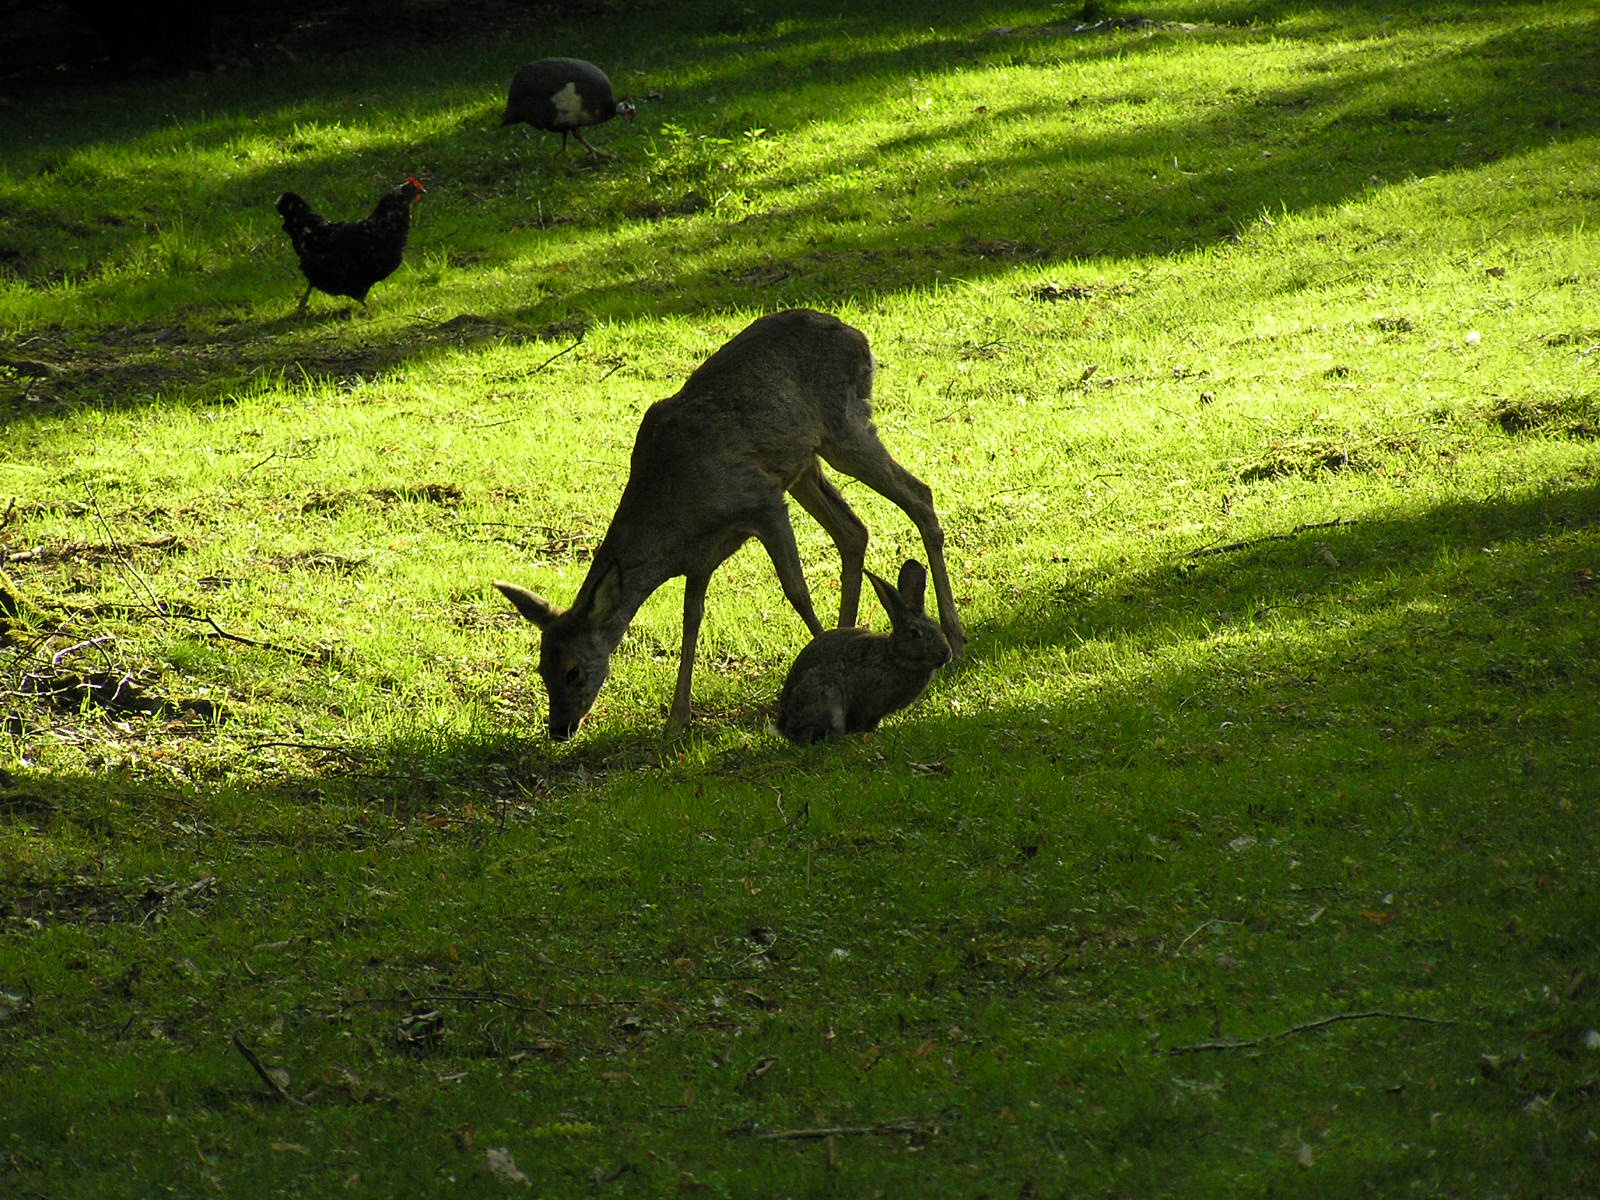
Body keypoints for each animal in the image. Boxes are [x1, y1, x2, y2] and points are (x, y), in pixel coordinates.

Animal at [774, 563, 947, 748]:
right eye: (914, 634)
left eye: (937, 626)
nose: (946, 653)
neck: (893, 657)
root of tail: (783, 728)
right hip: (826, 696)